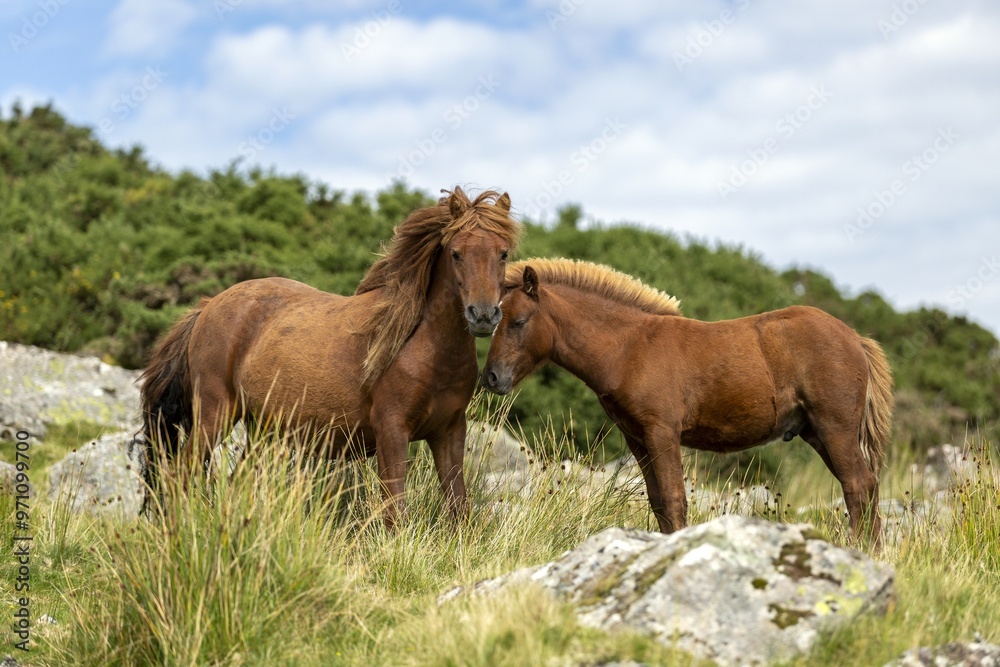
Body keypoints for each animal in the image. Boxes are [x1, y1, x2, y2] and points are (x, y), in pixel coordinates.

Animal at [140, 187, 521, 527]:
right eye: (456, 253)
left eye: (503, 253)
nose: (483, 315)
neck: (424, 348)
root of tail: (208, 306)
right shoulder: (392, 431)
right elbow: (394, 513)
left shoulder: (449, 433)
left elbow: (459, 508)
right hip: (215, 416)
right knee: (179, 474)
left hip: (263, 430)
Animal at [482, 259, 894, 545]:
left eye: (518, 321)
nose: (491, 378)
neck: (629, 348)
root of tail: (854, 337)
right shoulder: (637, 437)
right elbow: (658, 501)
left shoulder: (662, 432)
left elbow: (674, 498)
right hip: (817, 433)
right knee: (867, 484)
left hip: (835, 428)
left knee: (857, 484)